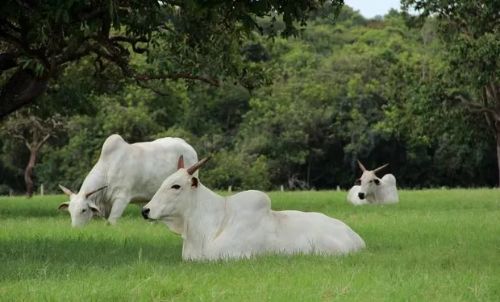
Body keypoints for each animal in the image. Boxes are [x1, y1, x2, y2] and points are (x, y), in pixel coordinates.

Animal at [57, 133, 198, 228]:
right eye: (70, 211)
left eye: (83, 210)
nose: (75, 228)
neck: (108, 169)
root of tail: (188, 146)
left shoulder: (121, 198)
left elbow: (111, 222)